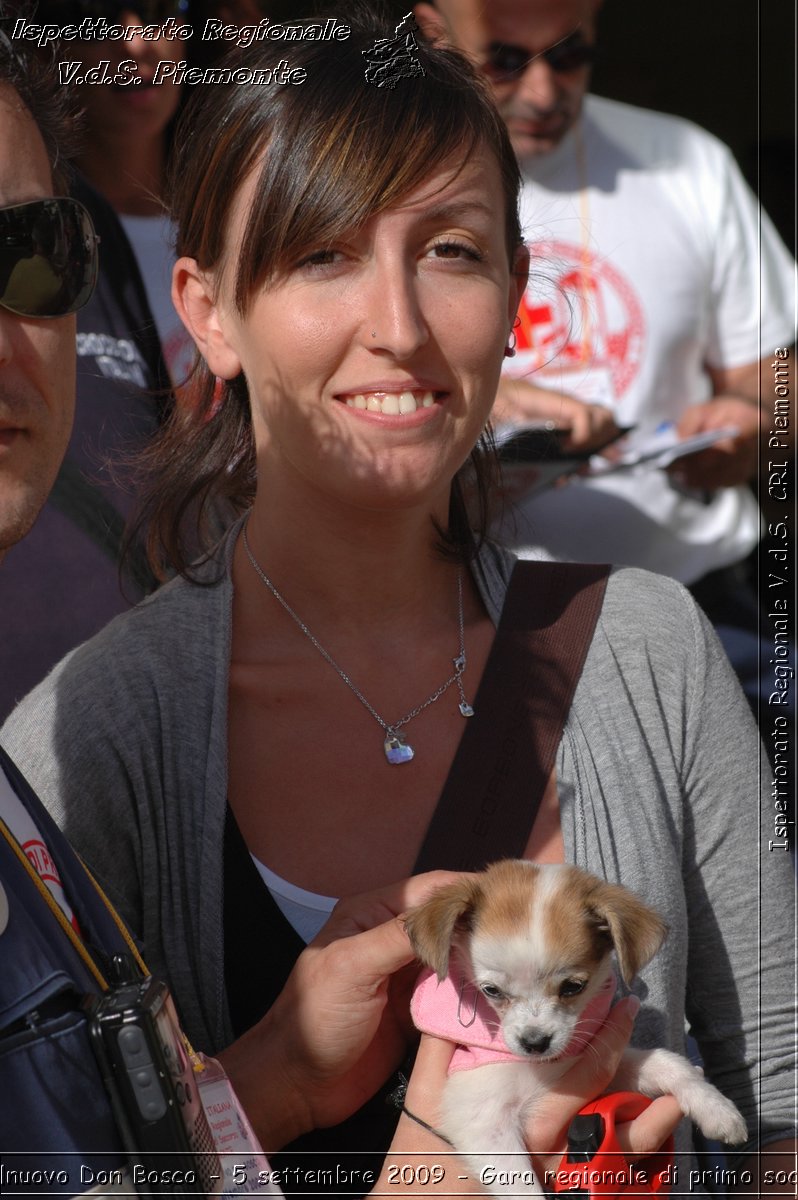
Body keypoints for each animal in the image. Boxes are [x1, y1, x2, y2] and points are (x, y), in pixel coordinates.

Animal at [405, 864, 748, 1200]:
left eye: (573, 987)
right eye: (491, 990)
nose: (535, 1043)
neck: (540, 1069)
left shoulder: (594, 1062)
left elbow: (667, 1063)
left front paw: (716, 1108)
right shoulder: (481, 1116)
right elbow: (522, 1188)